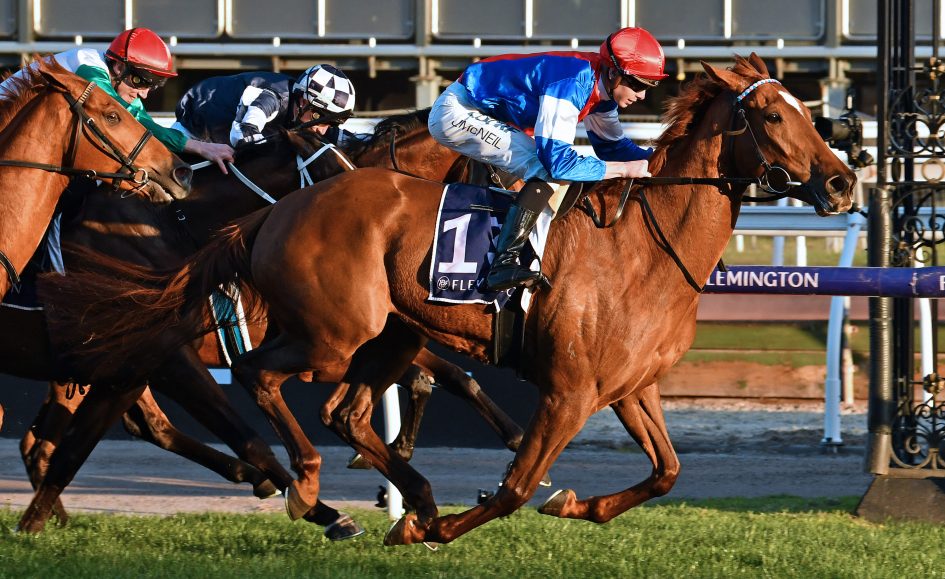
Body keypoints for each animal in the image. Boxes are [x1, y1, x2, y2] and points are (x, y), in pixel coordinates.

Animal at [29, 54, 857, 542]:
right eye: (773, 115)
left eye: (808, 110)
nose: (844, 181)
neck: (645, 249)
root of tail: (279, 208)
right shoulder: (568, 390)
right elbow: (515, 485)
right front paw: (446, 524)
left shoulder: (630, 386)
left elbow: (665, 472)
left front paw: (573, 505)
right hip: (333, 333)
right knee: (263, 379)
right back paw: (308, 486)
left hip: (387, 333)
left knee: (342, 411)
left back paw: (400, 494)